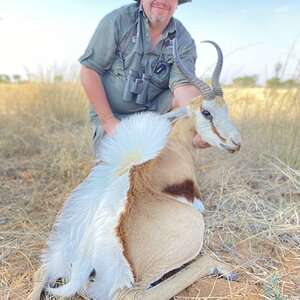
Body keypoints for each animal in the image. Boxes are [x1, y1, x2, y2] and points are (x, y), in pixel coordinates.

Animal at [28, 39, 241, 300]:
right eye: (206, 112)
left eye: (226, 109)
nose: (236, 142)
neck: (176, 145)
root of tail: (86, 253)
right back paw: (225, 268)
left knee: (41, 272)